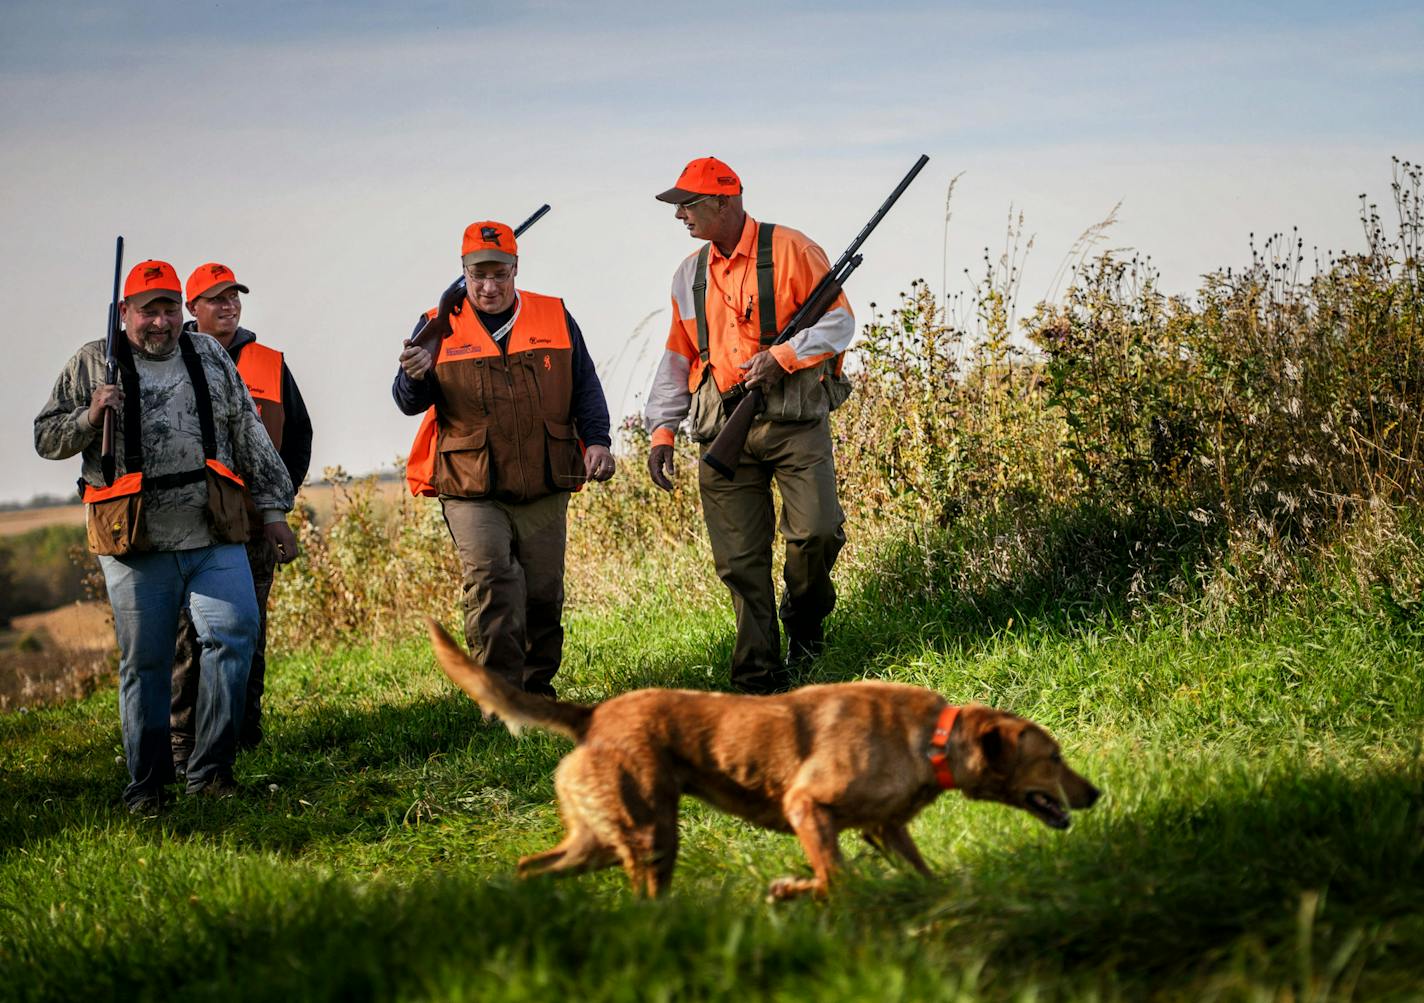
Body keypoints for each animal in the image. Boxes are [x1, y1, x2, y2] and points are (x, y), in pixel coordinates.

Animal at [424, 618, 1099, 900]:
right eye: (1053, 757)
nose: (1096, 793)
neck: (930, 737)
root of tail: (591, 716)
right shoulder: (808, 806)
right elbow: (834, 877)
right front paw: (791, 892)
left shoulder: (887, 828)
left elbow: (918, 873)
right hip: (650, 832)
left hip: (600, 838)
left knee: (531, 867)